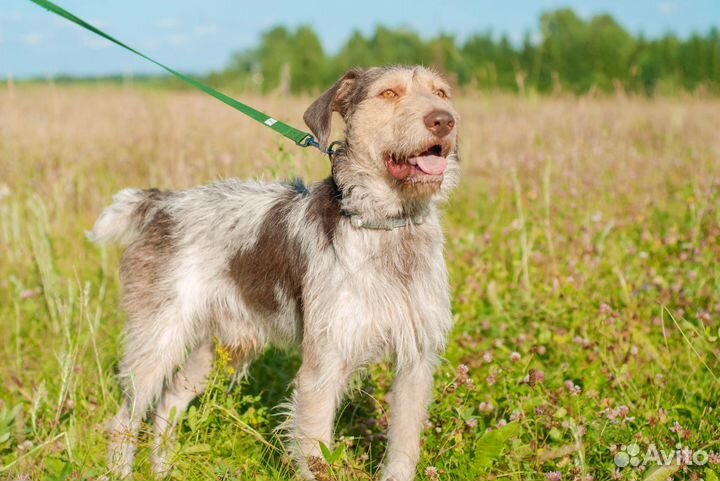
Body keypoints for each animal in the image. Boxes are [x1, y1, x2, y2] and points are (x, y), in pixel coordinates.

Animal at [91, 64, 462, 480]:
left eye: (441, 93)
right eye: (388, 93)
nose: (443, 121)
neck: (389, 227)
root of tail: (164, 203)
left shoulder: (416, 361)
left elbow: (403, 450)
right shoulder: (323, 367)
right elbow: (316, 458)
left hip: (224, 345)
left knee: (170, 399)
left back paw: (162, 468)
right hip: (159, 341)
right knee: (125, 418)